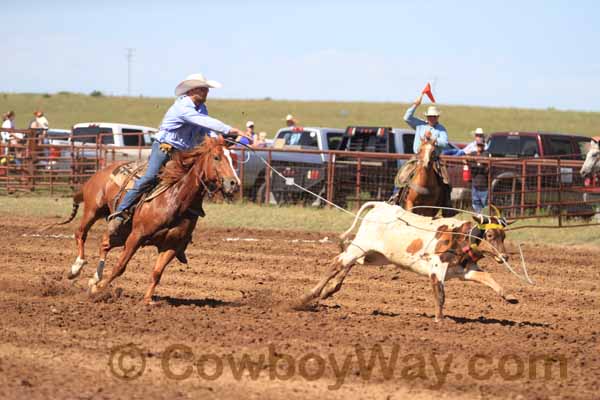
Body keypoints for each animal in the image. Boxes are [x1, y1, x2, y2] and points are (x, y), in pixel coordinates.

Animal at [48, 136, 239, 304]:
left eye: (232, 158)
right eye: (216, 157)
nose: (234, 183)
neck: (176, 199)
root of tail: (103, 170)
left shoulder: (172, 245)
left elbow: (157, 273)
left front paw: (147, 300)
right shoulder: (137, 236)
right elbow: (120, 266)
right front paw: (99, 289)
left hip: (121, 231)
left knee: (105, 243)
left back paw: (95, 277)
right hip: (93, 210)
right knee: (81, 233)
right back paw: (76, 268)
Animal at [298, 202, 516, 320]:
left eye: (503, 236)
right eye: (489, 235)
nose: (504, 257)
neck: (459, 237)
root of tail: (381, 205)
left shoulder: (465, 270)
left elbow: (487, 277)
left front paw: (509, 296)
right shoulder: (437, 268)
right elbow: (440, 294)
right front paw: (440, 319)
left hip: (374, 255)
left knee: (350, 264)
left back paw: (329, 290)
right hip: (360, 246)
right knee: (338, 262)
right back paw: (308, 296)